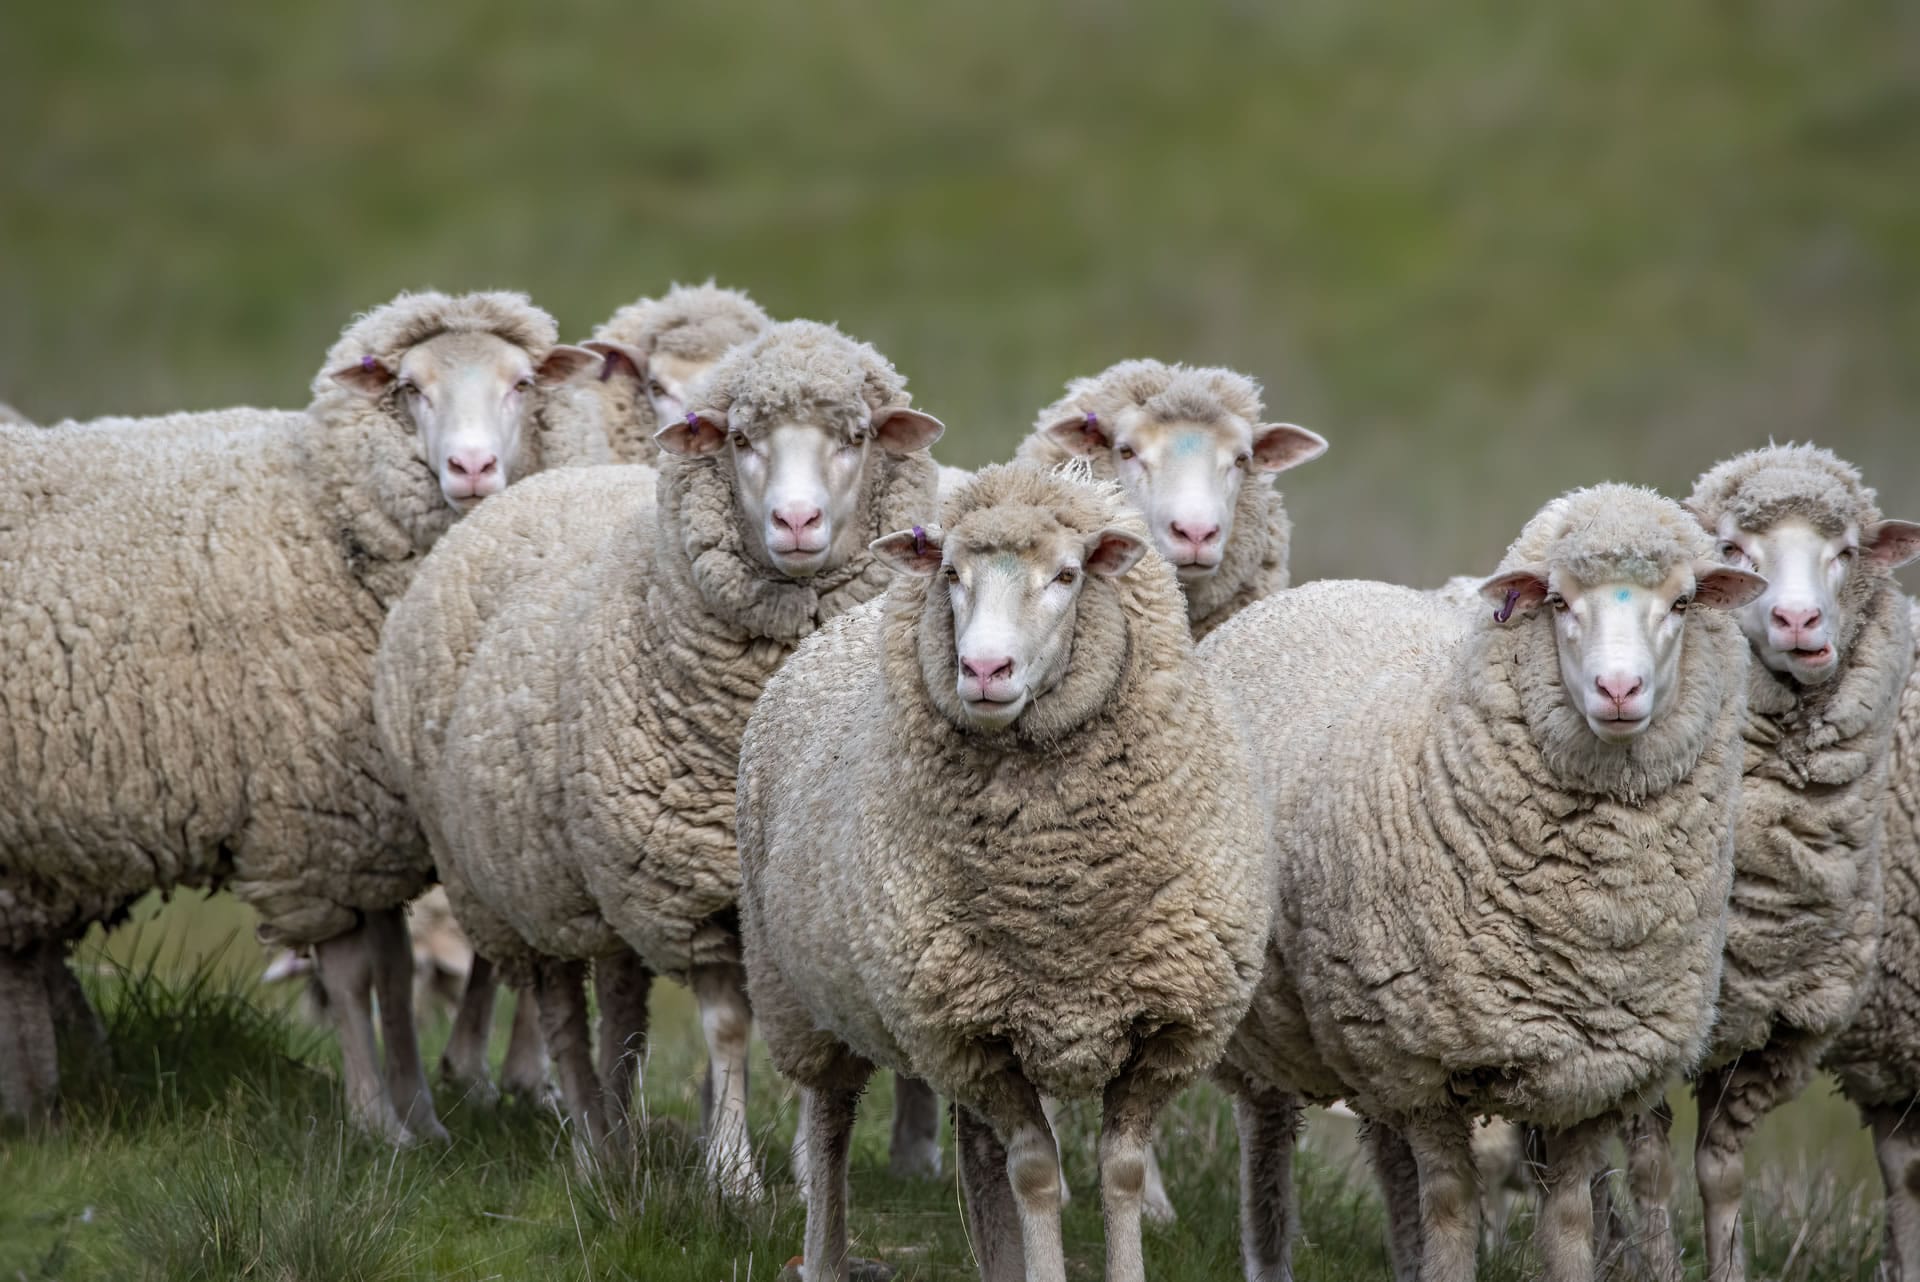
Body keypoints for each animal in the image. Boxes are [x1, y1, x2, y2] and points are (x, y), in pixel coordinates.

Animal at [0, 290, 599, 1129]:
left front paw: (421, 1114)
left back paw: (36, 1098)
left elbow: (392, 972)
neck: (324, 513)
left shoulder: (374, 824)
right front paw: (378, 1122)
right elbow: (353, 976)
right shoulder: (315, 820)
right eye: (410, 388)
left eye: (522, 383)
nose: (472, 468)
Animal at [373, 319, 944, 1190]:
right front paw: (734, 1176)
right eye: (740, 438)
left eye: (856, 437)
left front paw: (808, 1169)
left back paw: (616, 1132)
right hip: (521, 878)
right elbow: (729, 1028)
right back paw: (588, 1142)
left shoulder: (788, 896)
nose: (798, 522)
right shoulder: (692, 891)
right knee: (561, 1009)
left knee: (620, 1003)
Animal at [737, 461, 1270, 1282]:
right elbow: (1035, 1174)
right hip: (802, 992)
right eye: (951, 574)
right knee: (831, 1120)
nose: (984, 669)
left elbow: (1117, 1172)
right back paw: (824, 1254)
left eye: (1067, 575)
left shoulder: (1162, 1029)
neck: (1059, 894)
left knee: (975, 1158)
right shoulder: (970, 1035)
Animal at [1212, 484, 1765, 1282]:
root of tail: (1313, 589)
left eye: (1684, 602)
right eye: (1559, 602)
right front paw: (1440, 1261)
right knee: (1266, 1134)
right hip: (1273, 1022)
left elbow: (1569, 1223)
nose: (1618, 688)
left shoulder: (1587, 1078)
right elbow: (1448, 1212)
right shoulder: (1423, 1064)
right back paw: (1269, 1254)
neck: (1594, 911)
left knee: (1386, 1154)